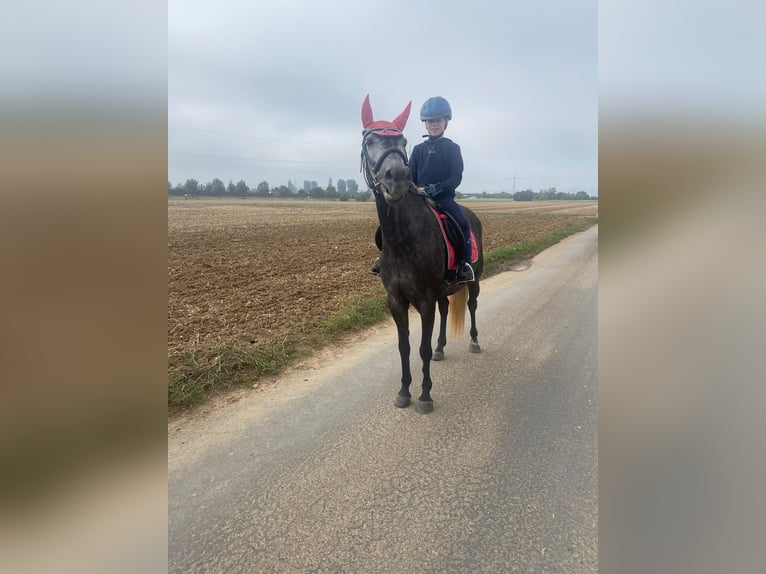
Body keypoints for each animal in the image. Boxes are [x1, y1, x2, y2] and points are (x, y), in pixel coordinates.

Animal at [362, 97, 486, 416]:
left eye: (403, 142)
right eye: (369, 141)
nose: (397, 178)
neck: (403, 240)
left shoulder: (424, 301)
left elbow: (422, 349)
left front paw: (425, 396)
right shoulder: (396, 300)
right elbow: (404, 347)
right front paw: (404, 391)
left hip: (474, 281)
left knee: (472, 306)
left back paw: (474, 341)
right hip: (443, 290)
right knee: (446, 309)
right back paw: (443, 347)